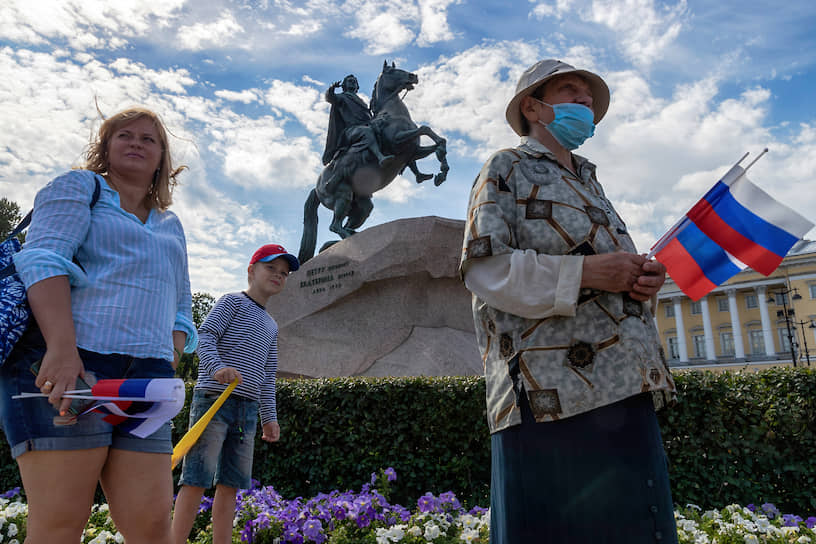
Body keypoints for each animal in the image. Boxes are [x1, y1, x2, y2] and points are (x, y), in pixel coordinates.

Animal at [298, 61, 450, 264]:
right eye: (393, 71)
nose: (413, 76)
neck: (392, 113)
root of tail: (316, 188)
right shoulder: (398, 141)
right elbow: (425, 129)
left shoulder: (412, 152)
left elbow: (436, 143)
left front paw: (441, 171)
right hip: (342, 195)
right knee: (335, 226)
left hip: (361, 206)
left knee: (347, 223)